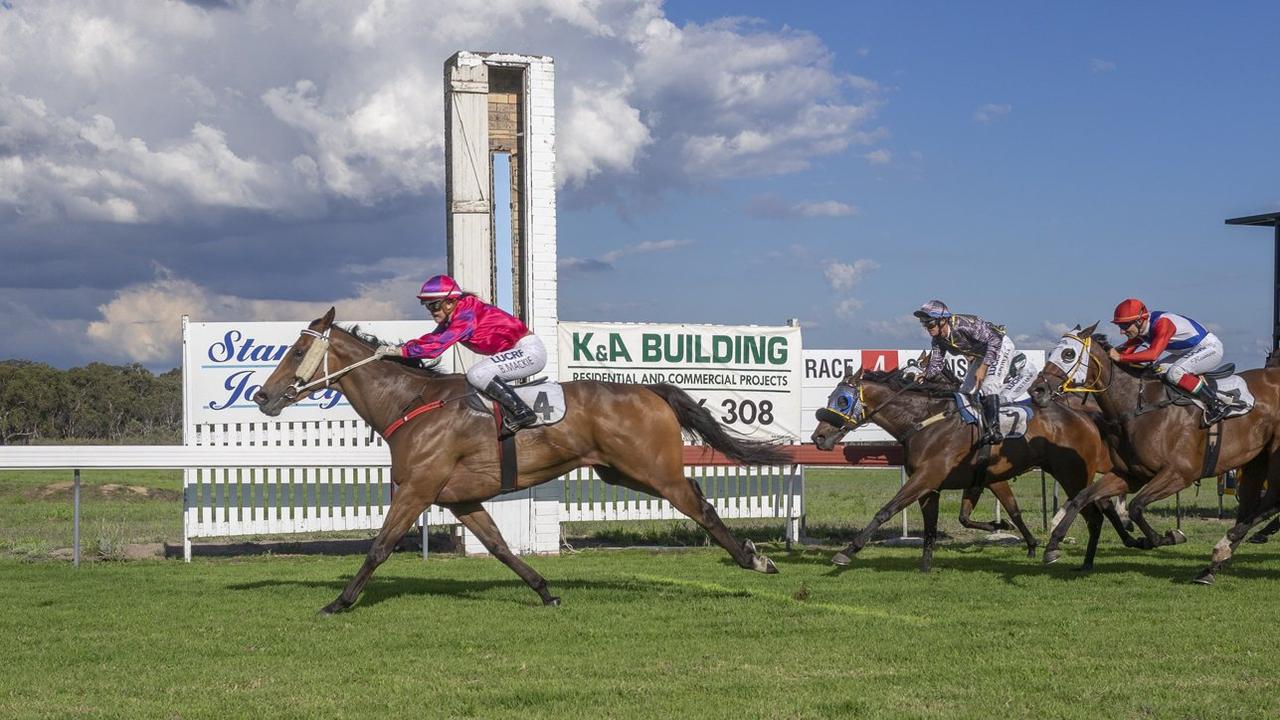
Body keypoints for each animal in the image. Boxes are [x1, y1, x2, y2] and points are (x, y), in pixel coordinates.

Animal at [250, 308, 788, 609]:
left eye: (295, 351)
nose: (262, 396)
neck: (409, 403)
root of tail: (648, 390)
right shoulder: (459, 499)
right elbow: (501, 548)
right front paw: (545, 591)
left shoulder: (418, 489)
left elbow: (379, 547)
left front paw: (339, 602)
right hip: (620, 473)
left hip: (653, 471)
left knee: (699, 503)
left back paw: (755, 560)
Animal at [814, 366, 1136, 568]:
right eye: (831, 397)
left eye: (842, 400)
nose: (818, 437)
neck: (925, 421)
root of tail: (1084, 416)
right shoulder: (943, 483)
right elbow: (939, 524)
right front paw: (926, 564)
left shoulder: (928, 476)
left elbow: (887, 510)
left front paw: (848, 550)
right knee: (1100, 508)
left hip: (1072, 475)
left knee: (1095, 514)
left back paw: (1075, 555)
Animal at [1024, 322, 1280, 579]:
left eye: (1068, 354)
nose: (1036, 390)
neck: (1140, 407)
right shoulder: (1130, 475)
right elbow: (1082, 497)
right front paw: (1053, 545)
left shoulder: (1179, 474)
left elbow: (1136, 507)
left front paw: (1167, 537)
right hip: (1255, 461)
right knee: (1252, 504)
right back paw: (1215, 564)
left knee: (1269, 501)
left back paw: (1227, 545)